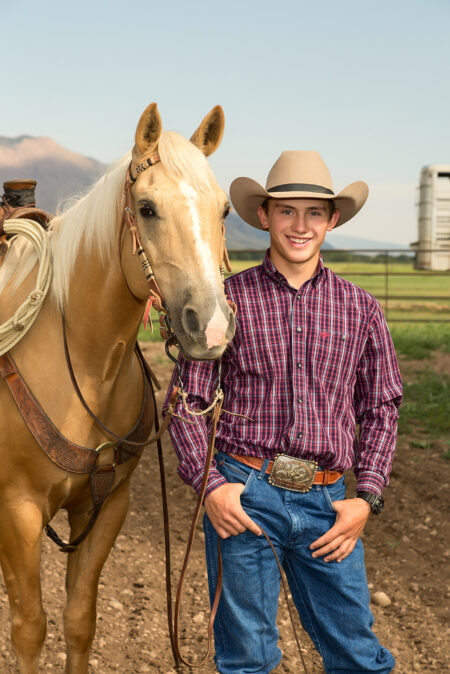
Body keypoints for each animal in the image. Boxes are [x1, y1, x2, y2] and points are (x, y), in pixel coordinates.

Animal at [0, 102, 234, 668]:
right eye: (146, 208)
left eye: (224, 210)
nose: (212, 327)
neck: (87, 366)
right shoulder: (16, 512)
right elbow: (29, 630)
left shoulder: (108, 506)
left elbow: (80, 620)